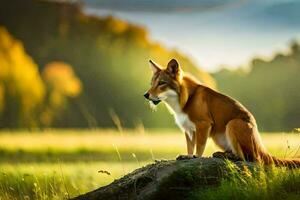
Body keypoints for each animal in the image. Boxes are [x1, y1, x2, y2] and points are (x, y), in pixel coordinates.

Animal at [144, 58, 300, 168]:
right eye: (151, 83)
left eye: (161, 83)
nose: (146, 95)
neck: (186, 100)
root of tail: (261, 147)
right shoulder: (188, 130)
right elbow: (190, 148)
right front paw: (187, 156)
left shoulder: (204, 124)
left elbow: (199, 148)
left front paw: (195, 158)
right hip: (218, 137)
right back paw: (221, 154)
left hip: (232, 124)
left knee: (247, 158)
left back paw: (228, 156)